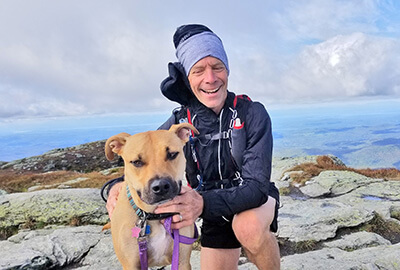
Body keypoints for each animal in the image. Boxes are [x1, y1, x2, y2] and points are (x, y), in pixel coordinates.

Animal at [104, 123, 198, 268]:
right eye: (136, 162)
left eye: (172, 154)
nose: (161, 187)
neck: (153, 216)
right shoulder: (131, 265)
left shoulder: (182, 261)